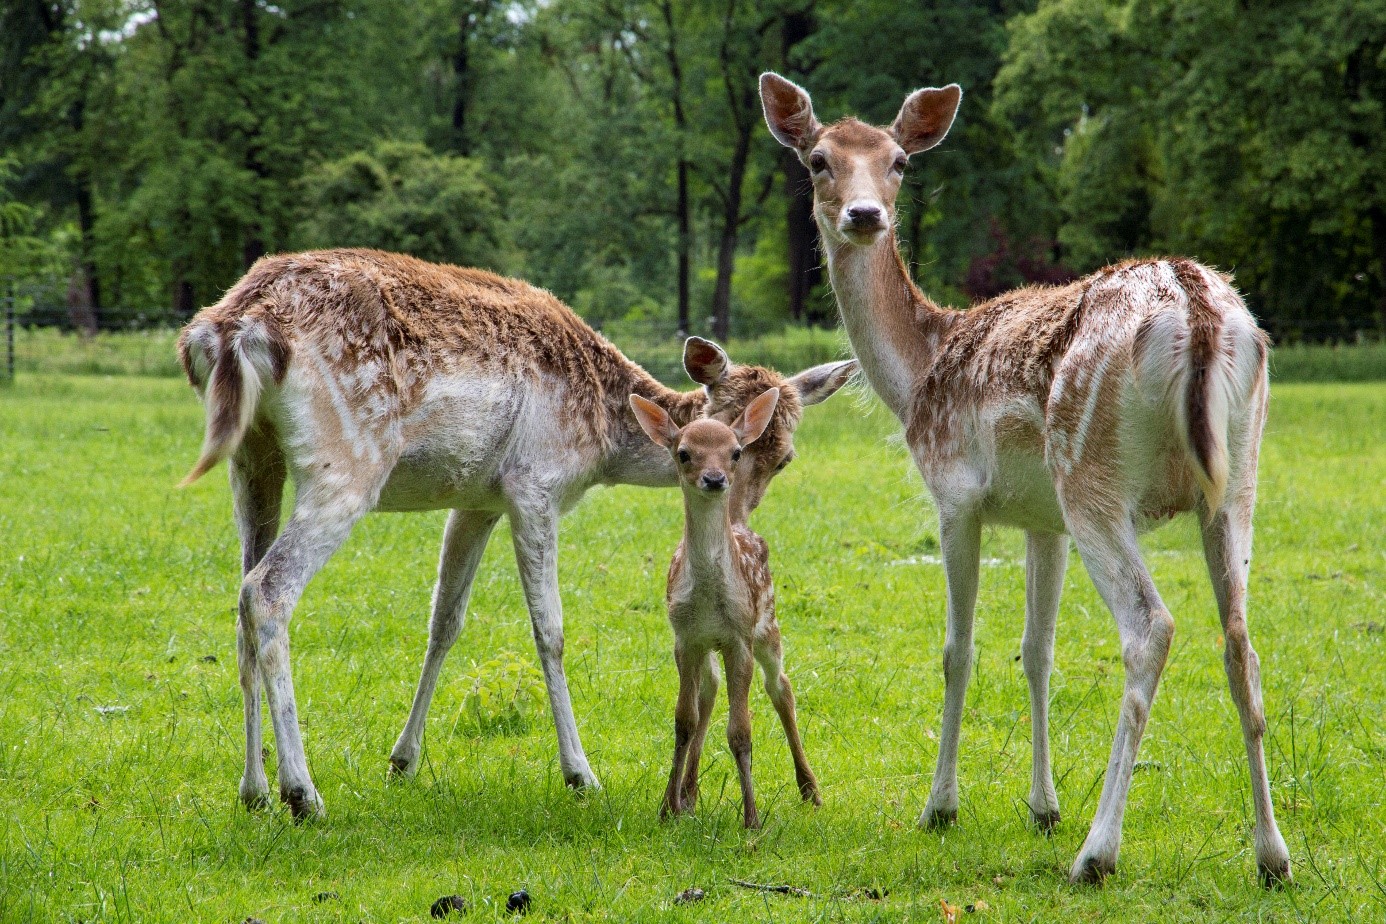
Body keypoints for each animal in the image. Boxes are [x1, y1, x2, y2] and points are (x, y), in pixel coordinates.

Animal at [632, 387, 814, 825]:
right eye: (683, 453)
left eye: (735, 452)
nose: (714, 479)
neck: (711, 598)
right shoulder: (685, 638)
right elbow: (684, 721)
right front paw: (667, 808)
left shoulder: (738, 638)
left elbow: (740, 731)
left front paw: (752, 818)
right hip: (709, 646)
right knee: (709, 691)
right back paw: (689, 793)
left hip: (768, 625)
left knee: (781, 687)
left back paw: (810, 789)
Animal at [759, 74, 1286, 886]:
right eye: (819, 160)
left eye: (898, 162)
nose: (865, 215)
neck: (916, 378)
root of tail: (1197, 308)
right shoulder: (1043, 520)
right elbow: (1037, 652)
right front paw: (1042, 808)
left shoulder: (954, 494)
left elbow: (959, 650)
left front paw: (940, 807)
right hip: (1234, 482)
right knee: (1241, 642)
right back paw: (1272, 855)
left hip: (1092, 477)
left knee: (1152, 627)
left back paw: (1097, 854)